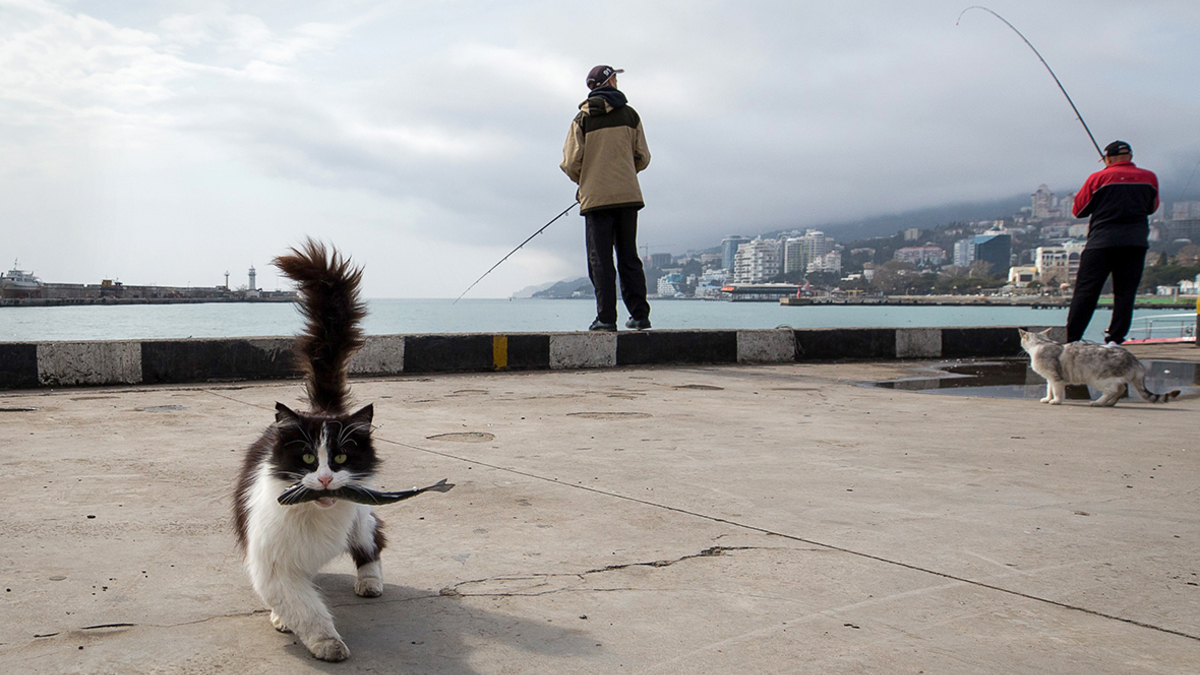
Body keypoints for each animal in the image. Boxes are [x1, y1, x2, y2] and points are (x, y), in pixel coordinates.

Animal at [234, 239, 384, 658]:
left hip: (361, 518)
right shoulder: (272, 559)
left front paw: (326, 643)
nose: (326, 479)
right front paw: (324, 640)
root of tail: (324, 409)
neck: (313, 515)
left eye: (341, 457)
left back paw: (370, 582)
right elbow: (301, 603)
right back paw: (281, 619)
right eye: (306, 459)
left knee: (373, 541)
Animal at [1017, 326, 1176, 403]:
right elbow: (1049, 390)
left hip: (1100, 378)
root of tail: (1134, 359)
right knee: (1121, 389)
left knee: (1113, 390)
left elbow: (1057, 391)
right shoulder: (1050, 378)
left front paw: (1055, 401)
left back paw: (1098, 402)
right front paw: (1048, 399)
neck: (1041, 343)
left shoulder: (1056, 378)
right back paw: (1109, 403)